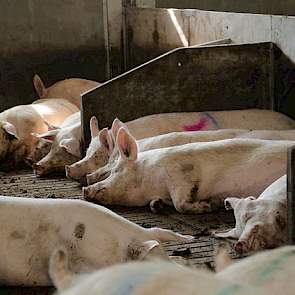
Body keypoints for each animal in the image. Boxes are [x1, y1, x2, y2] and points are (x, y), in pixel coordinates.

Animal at [82, 128, 294, 214]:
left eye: (116, 170)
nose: (85, 189)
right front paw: (157, 205)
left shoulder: (179, 173)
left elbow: (180, 203)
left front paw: (209, 205)